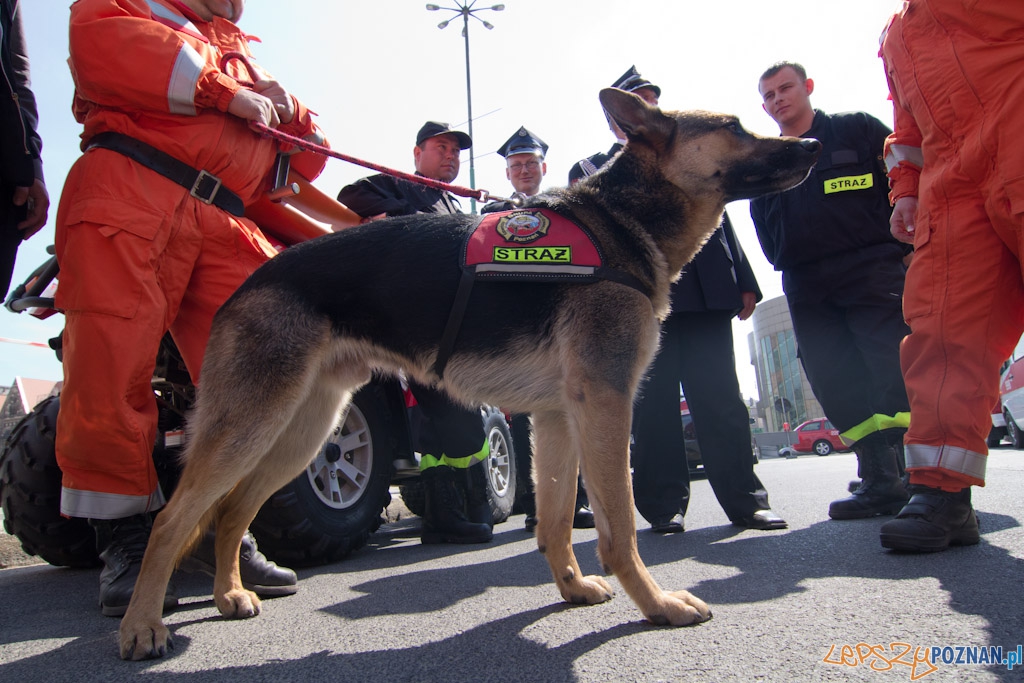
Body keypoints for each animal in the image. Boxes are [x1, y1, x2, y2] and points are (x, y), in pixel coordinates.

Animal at [119, 88, 819, 659]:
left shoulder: (559, 417)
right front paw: (656, 606)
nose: (812, 142)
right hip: (255, 424)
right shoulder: (606, 402)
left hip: (303, 431)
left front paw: (570, 588)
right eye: (734, 126)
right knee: (172, 520)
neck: (621, 221)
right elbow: (619, 526)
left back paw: (228, 596)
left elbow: (556, 518)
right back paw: (141, 626)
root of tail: (249, 281)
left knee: (232, 510)